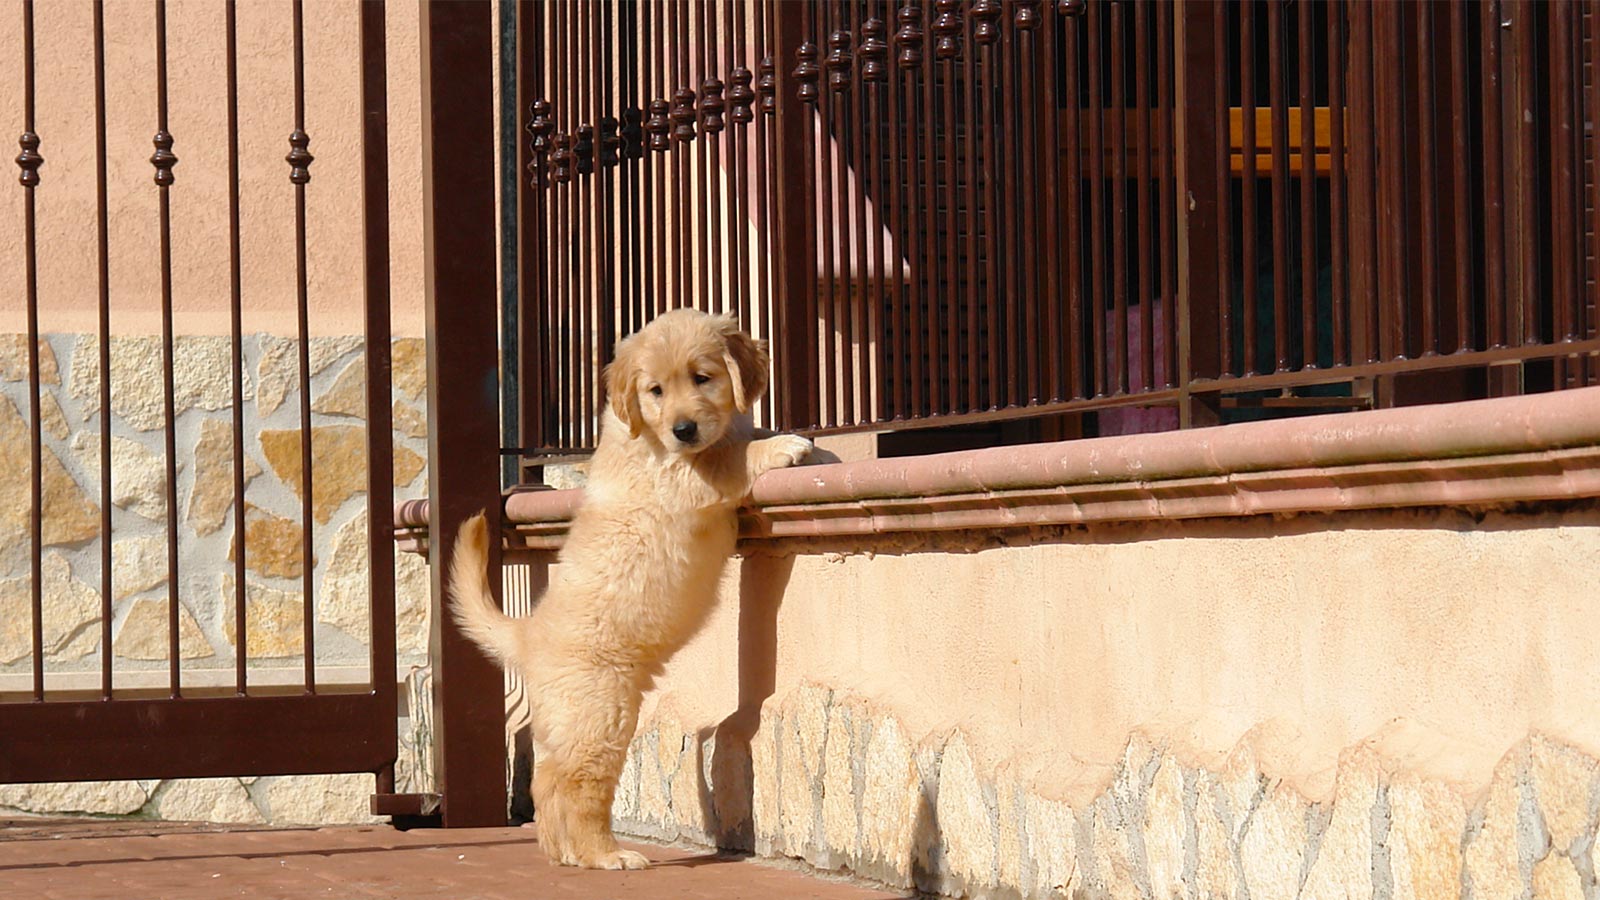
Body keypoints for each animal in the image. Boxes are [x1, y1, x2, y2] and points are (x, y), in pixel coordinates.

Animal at [451, 305, 812, 864]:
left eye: (702, 377)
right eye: (655, 390)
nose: (684, 430)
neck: (650, 435)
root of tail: (528, 632)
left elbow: (739, 434)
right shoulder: (683, 476)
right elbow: (730, 456)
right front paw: (784, 446)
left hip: (569, 721)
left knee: (547, 780)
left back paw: (563, 852)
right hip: (600, 714)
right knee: (577, 784)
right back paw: (604, 854)